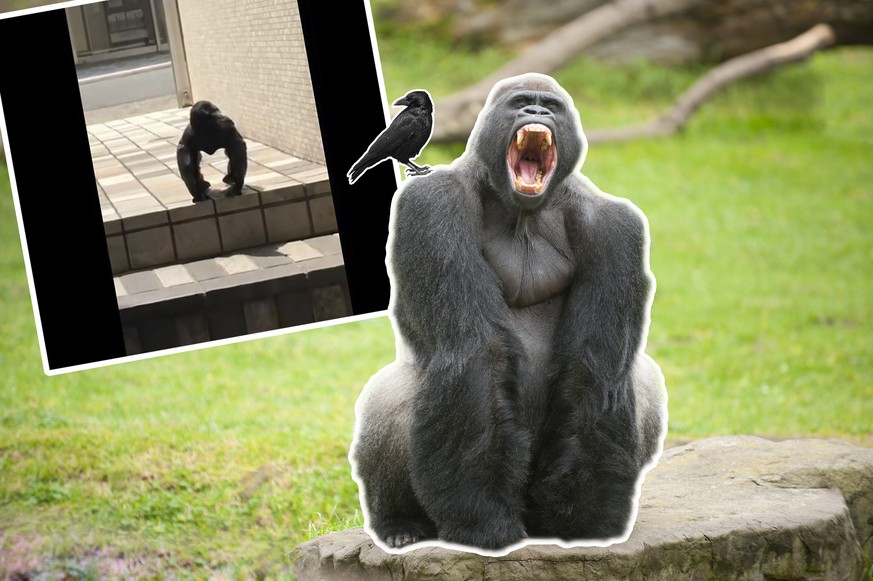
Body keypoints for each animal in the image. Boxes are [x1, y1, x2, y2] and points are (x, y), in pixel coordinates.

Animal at [348, 73, 668, 552]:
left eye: (550, 108)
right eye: (521, 104)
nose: (535, 114)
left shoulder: (616, 226)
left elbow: (593, 369)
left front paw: (583, 517)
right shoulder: (435, 203)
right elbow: (479, 352)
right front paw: (482, 519)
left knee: (639, 378)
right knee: (391, 391)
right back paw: (399, 521)